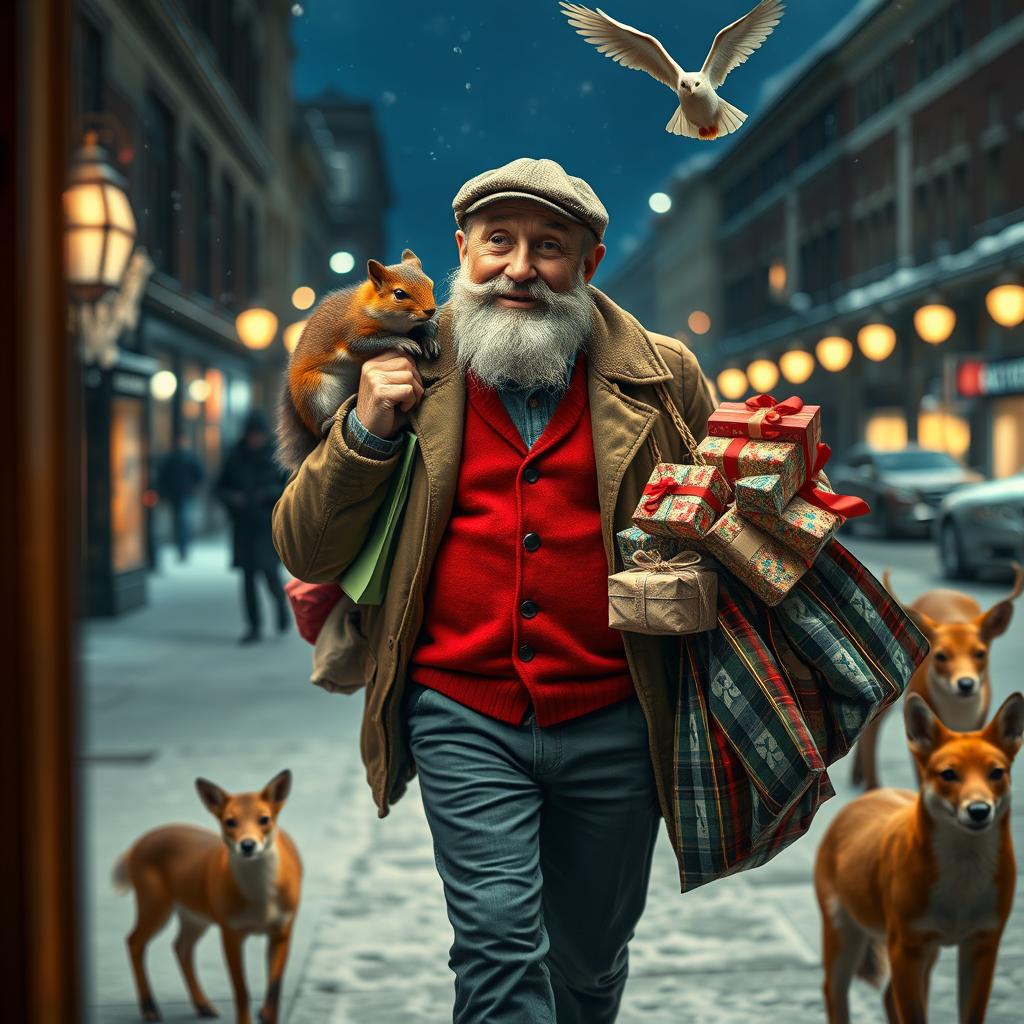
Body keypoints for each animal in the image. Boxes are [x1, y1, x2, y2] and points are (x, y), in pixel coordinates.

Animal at [115, 770, 301, 1019]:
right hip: (155, 905)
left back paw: (203, 1005)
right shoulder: (230, 930)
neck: (260, 902)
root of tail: (139, 843)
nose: (248, 845)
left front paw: (267, 1014)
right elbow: (241, 992)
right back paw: (149, 1008)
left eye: (264, 819)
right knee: (134, 941)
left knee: (181, 947)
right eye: (229, 822)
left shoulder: (283, 928)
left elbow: (275, 989)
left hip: (195, 916)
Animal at [276, 247, 440, 471]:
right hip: (314, 391)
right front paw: (401, 341)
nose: (431, 310)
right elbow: (368, 343)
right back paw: (328, 422)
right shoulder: (351, 333)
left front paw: (428, 336)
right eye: (399, 294)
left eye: (430, 283)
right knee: (319, 428)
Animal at [815, 688, 1024, 1024]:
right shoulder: (906, 947)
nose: (979, 810)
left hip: (928, 951)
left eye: (996, 773)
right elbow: (913, 1015)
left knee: (888, 996)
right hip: (845, 937)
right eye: (949, 774)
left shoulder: (982, 944)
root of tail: (872, 794)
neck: (962, 889)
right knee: (835, 994)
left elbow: (970, 1015)